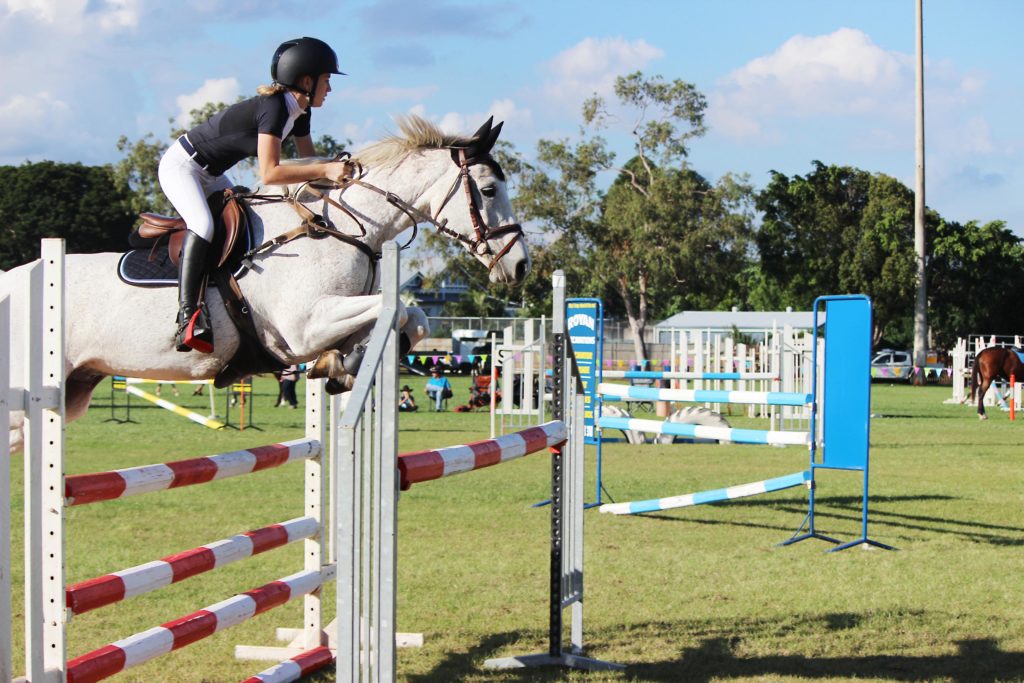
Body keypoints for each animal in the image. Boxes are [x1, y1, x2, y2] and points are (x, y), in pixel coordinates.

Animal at [4, 114, 524, 450]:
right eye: (490, 190)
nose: (519, 266)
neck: (341, 226)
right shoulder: (303, 327)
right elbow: (401, 308)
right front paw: (347, 362)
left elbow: (409, 316)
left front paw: (343, 365)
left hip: (72, 390)